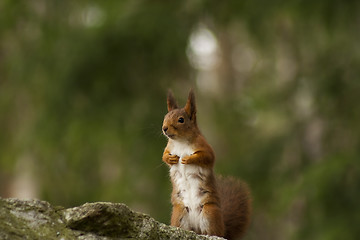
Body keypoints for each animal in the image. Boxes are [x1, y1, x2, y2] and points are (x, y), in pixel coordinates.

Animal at [162, 89, 252, 239]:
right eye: (165, 117)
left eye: (181, 120)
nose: (164, 128)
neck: (180, 141)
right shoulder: (168, 148)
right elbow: (164, 156)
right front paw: (171, 160)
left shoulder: (204, 147)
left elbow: (207, 157)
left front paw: (188, 159)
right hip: (179, 214)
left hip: (209, 213)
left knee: (213, 232)